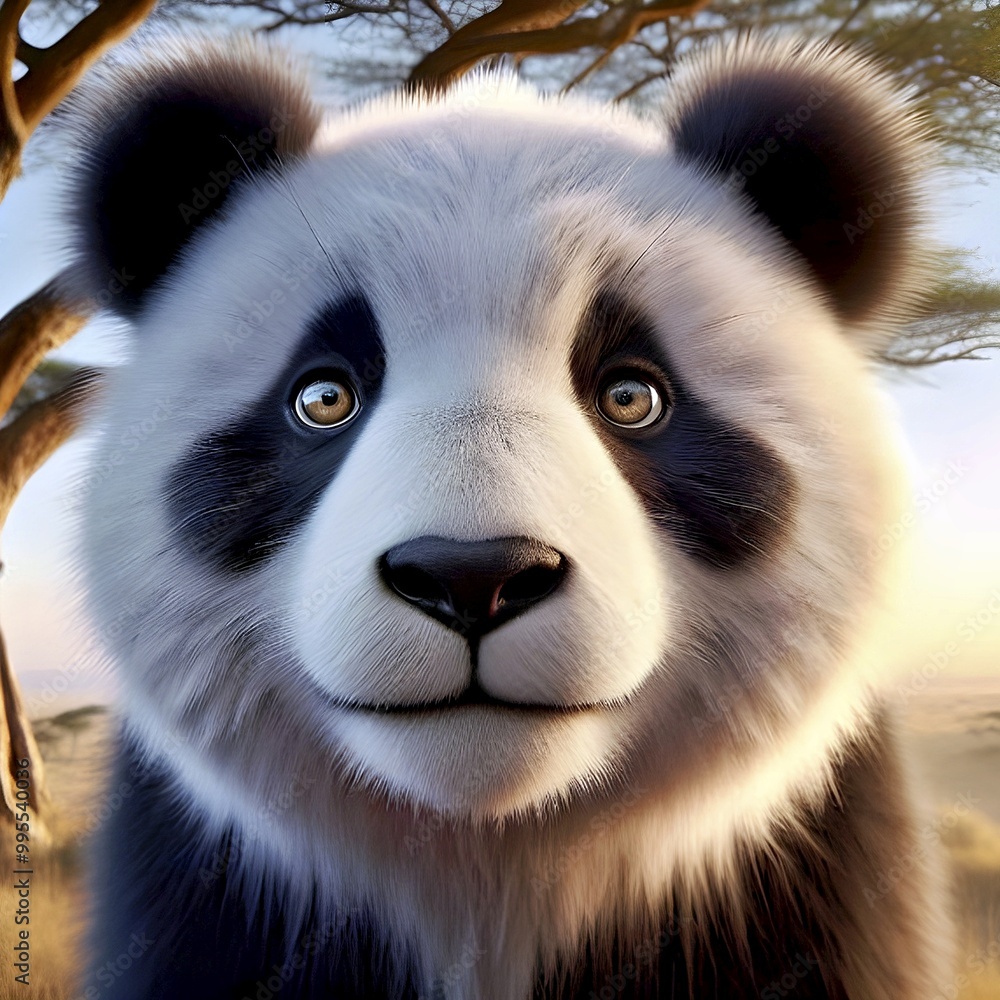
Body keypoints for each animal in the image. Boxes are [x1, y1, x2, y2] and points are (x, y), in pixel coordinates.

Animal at [64, 31, 950, 1000]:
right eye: (324, 397)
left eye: (631, 396)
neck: (489, 857)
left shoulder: (804, 880)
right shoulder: (205, 891)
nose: (473, 576)